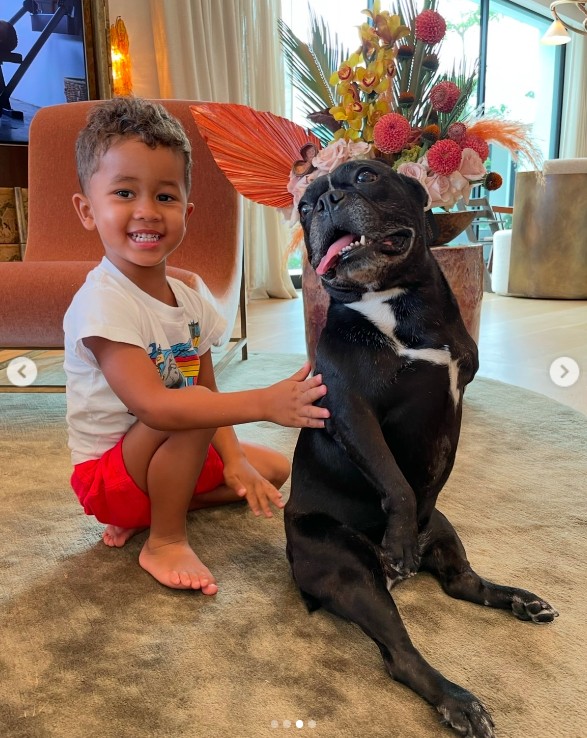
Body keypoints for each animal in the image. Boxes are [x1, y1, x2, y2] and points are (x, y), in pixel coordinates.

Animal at [288, 161, 560, 736]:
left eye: (365, 176)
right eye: (302, 205)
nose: (323, 202)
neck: (393, 302)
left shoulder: (455, 394)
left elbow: (434, 471)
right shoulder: (352, 411)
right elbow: (393, 477)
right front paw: (399, 537)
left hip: (446, 533)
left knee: (463, 584)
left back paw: (520, 601)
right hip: (352, 572)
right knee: (400, 655)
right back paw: (457, 700)